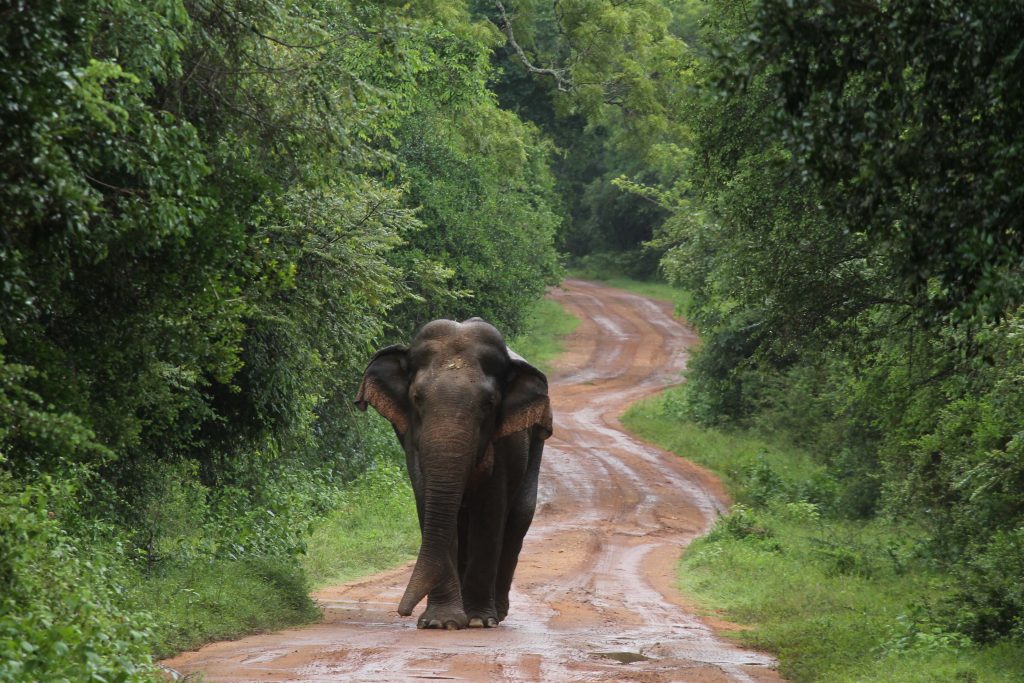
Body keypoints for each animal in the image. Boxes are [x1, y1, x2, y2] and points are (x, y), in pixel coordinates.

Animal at [356, 319, 557, 630]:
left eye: (489, 403)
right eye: (416, 398)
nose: (403, 612)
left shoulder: (506, 442)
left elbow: (490, 509)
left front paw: (478, 621)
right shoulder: (410, 438)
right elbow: (428, 501)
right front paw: (441, 622)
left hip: (536, 441)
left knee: (519, 515)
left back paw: (497, 614)